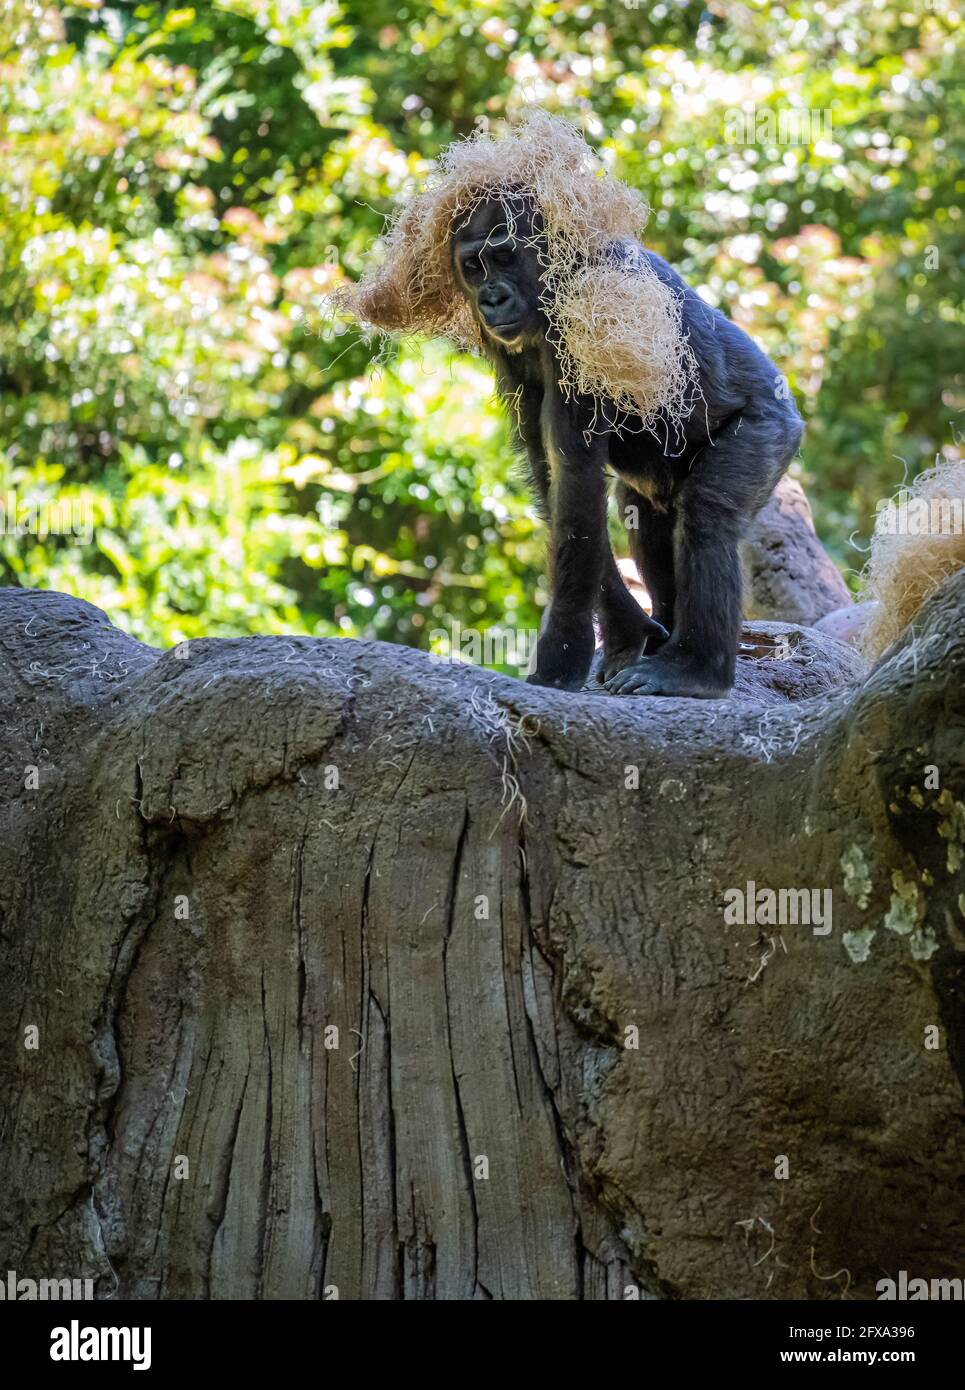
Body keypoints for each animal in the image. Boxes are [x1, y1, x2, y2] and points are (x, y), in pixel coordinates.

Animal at [450, 195, 806, 695]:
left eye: (502, 257)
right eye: (473, 267)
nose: (491, 296)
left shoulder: (584, 319)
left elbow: (574, 476)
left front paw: (561, 655)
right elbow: (553, 478)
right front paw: (626, 631)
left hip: (770, 429)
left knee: (708, 517)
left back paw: (697, 670)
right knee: (641, 511)